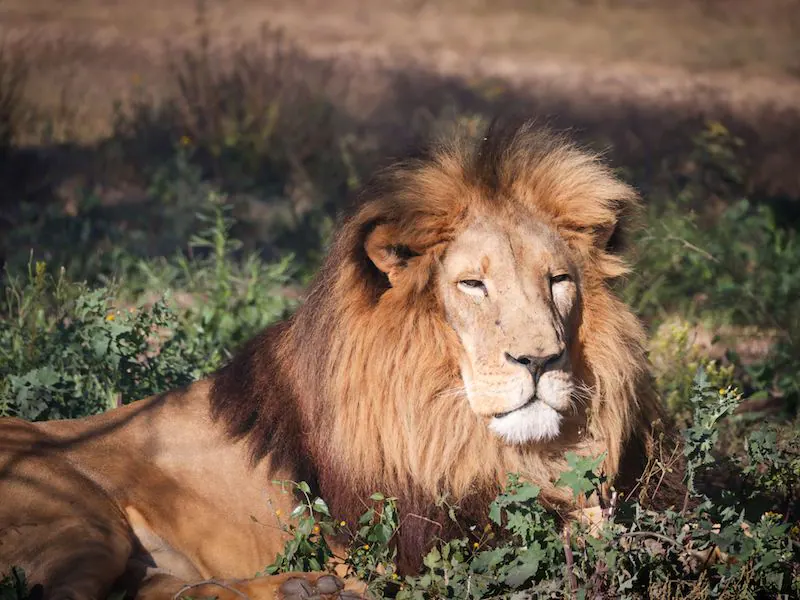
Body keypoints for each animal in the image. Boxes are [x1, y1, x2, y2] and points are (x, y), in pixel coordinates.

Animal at [0, 118, 682, 600]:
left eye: (559, 281)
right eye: (473, 285)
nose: (539, 360)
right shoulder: (425, 533)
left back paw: (305, 589)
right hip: (77, 521)